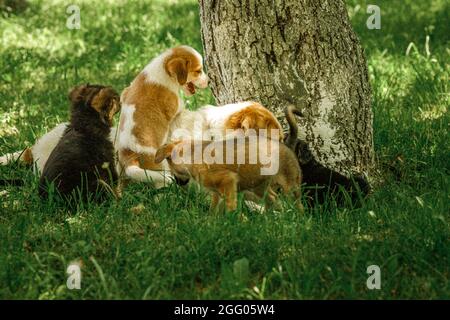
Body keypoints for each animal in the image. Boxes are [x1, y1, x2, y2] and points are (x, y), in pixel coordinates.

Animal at [154, 135, 302, 212]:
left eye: (170, 165)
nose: (177, 182)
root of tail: (288, 148)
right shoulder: (217, 192)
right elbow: (213, 209)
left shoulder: (228, 182)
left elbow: (230, 207)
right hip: (259, 187)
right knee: (273, 198)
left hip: (290, 187)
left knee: (298, 206)